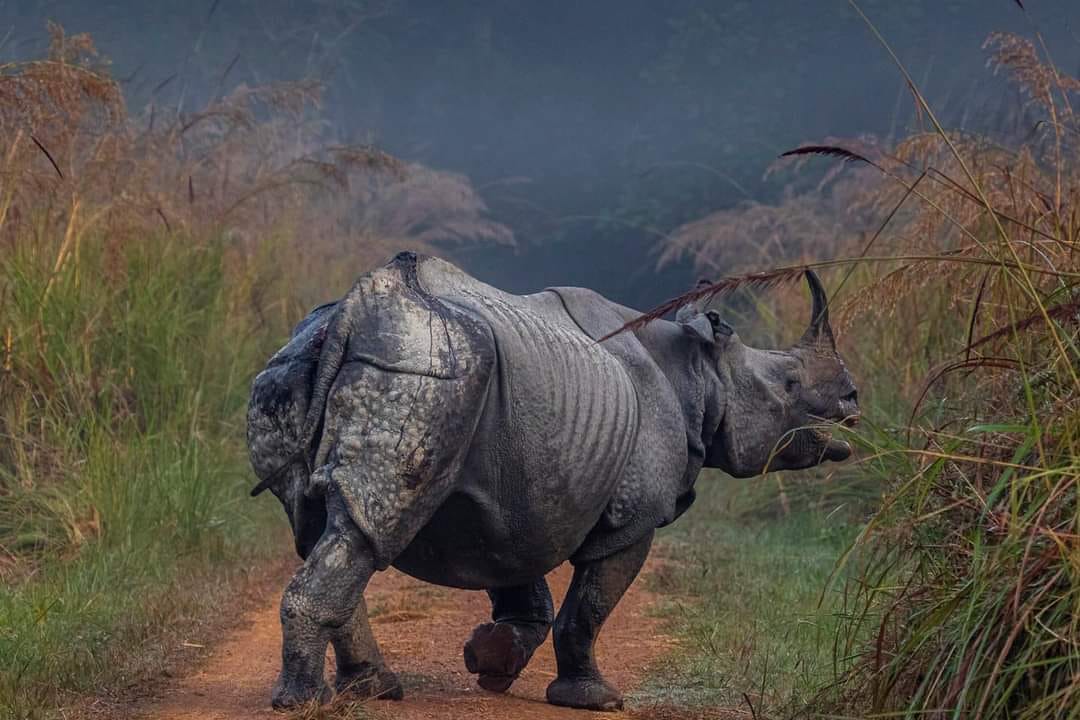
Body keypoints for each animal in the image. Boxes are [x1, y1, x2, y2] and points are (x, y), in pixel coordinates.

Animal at [246, 251, 858, 711]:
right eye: (789, 383)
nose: (853, 399)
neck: (701, 373)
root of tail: (358, 307)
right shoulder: (633, 519)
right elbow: (588, 607)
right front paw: (595, 699)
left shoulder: (512, 490)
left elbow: (514, 569)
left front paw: (490, 661)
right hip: (429, 370)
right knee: (369, 530)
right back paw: (306, 702)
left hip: (299, 364)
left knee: (322, 526)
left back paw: (374, 690)